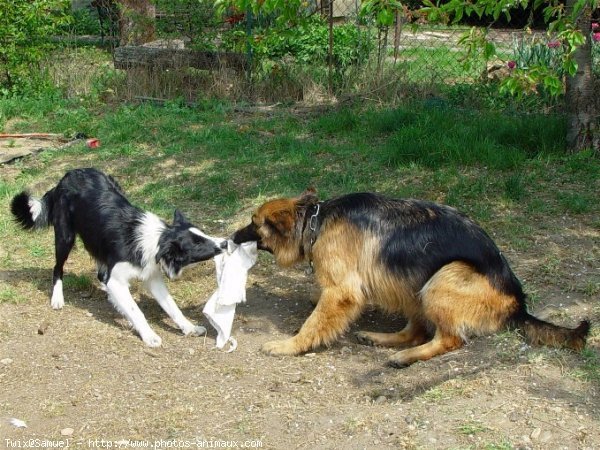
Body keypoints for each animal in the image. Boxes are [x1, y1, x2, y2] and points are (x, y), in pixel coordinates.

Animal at [10, 167, 223, 346]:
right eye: (197, 244)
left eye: (203, 234)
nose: (224, 243)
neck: (157, 240)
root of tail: (66, 176)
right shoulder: (119, 278)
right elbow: (136, 311)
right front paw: (149, 336)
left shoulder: (152, 277)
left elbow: (172, 307)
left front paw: (189, 327)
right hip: (65, 237)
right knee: (58, 268)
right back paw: (57, 299)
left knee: (100, 274)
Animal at [232, 188, 588, 368]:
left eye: (254, 224)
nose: (232, 237)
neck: (316, 221)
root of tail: (518, 304)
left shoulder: (342, 292)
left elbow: (313, 323)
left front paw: (288, 345)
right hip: (411, 281)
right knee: (416, 331)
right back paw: (382, 339)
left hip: (442, 278)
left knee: (450, 340)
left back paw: (406, 357)